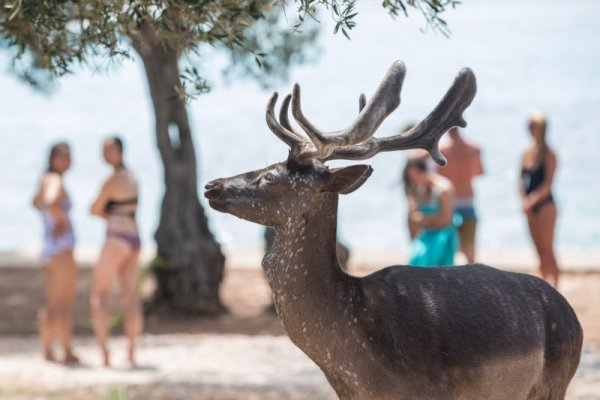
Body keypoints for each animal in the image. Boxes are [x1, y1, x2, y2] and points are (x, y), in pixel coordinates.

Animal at [205, 60, 580, 400]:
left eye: (270, 177)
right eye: (267, 165)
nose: (213, 185)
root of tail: (574, 318)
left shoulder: (433, 392)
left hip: (554, 383)